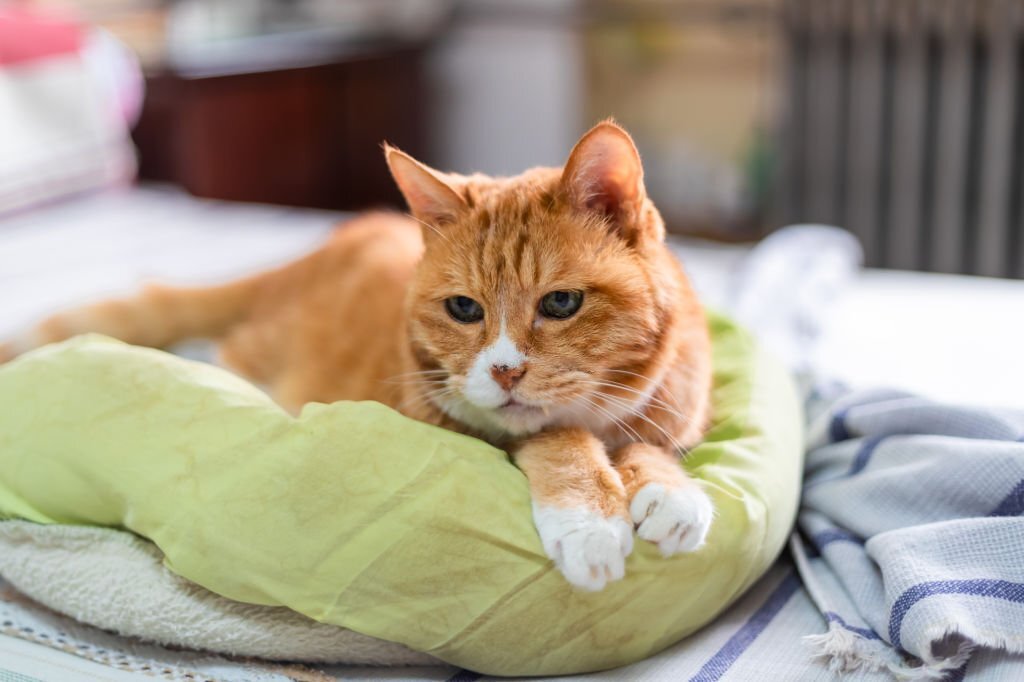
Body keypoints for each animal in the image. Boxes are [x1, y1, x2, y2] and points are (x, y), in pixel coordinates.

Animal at [4, 122, 712, 589]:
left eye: (561, 302)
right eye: (464, 310)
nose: (505, 370)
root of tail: (314, 253)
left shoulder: (673, 416)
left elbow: (651, 446)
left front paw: (670, 493)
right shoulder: (468, 426)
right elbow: (557, 440)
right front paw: (592, 521)